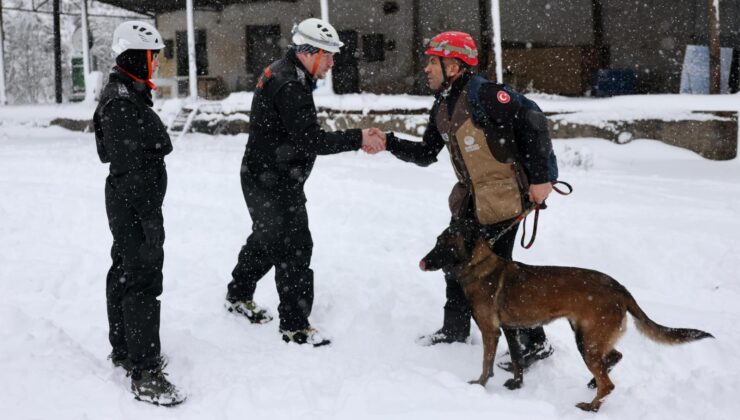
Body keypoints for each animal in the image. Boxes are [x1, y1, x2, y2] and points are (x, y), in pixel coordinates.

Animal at [420, 228, 712, 412]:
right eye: (437, 241)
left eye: (444, 244)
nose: (422, 262)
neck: (478, 264)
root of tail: (619, 287)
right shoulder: (511, 330)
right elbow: (517, 361)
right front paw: (516, 384)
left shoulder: (491, 331)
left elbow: (486, 363)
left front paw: (479, 385)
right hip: (589, 336)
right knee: (614, 357)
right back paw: (593, 382)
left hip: (587, 341)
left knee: (609, 383)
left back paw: (592, 406)